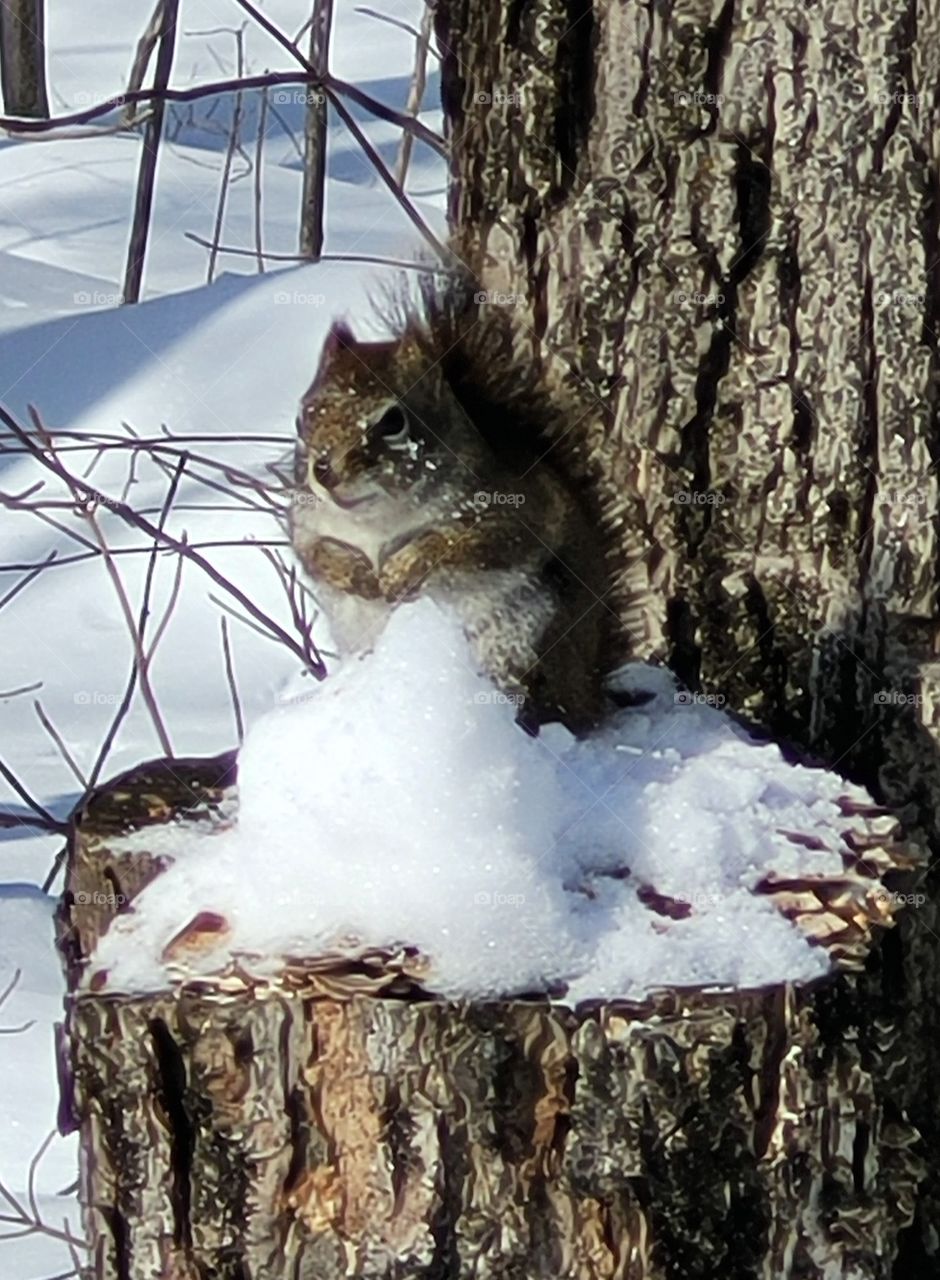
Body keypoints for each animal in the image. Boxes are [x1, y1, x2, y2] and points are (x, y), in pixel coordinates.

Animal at [288, 274, 613, 733]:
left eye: (392, 421)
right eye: (303, 416)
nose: (324, 471)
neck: (377, 523)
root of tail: (589, 690)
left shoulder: (517, 512)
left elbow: (460, 544)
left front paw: (400, 572)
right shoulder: (306, 521)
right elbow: (314, 555)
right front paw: (357, 575)